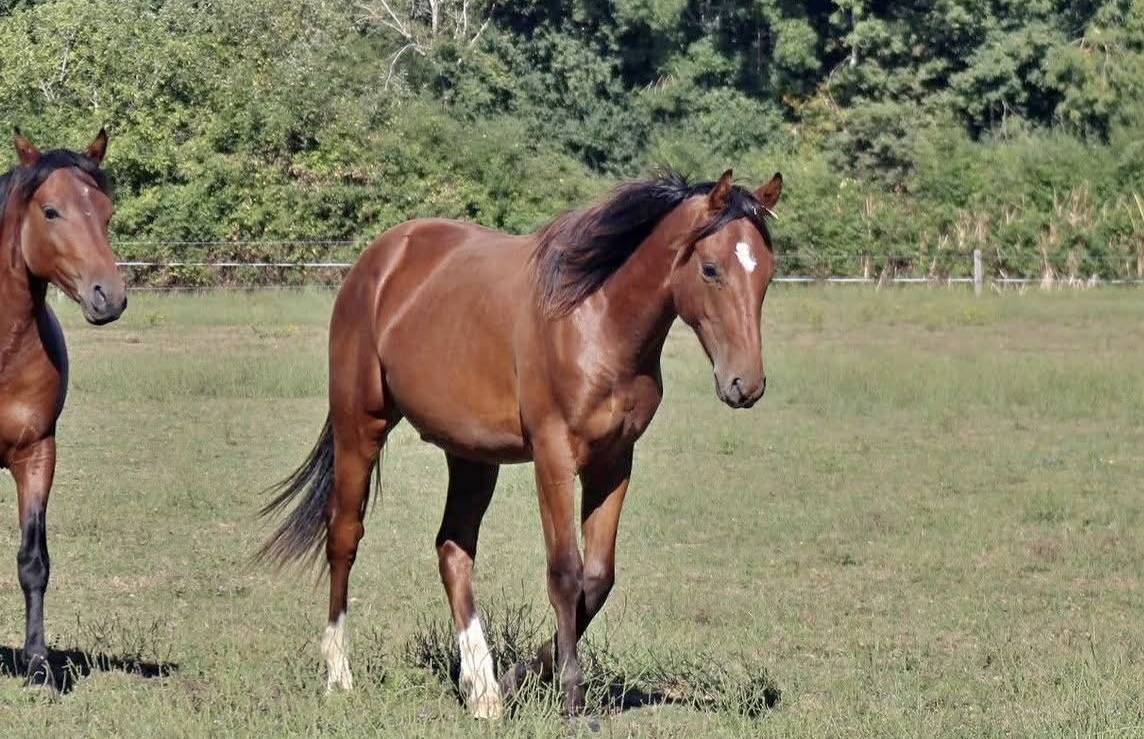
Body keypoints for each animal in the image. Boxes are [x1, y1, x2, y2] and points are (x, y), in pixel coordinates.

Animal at [261, 167, 782, 717]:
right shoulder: (553, 457)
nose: (745, 385)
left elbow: (598, 579)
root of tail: (377, 260)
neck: (595, 317)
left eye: (767, 273)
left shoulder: (614, 462)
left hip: (470, 456)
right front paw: (571, 694)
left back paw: (482, 688)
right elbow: (566, 573)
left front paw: (519, 677)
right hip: (360, 424)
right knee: (344, 534)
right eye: (710, 269)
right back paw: (339, 673)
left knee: (453, 550)